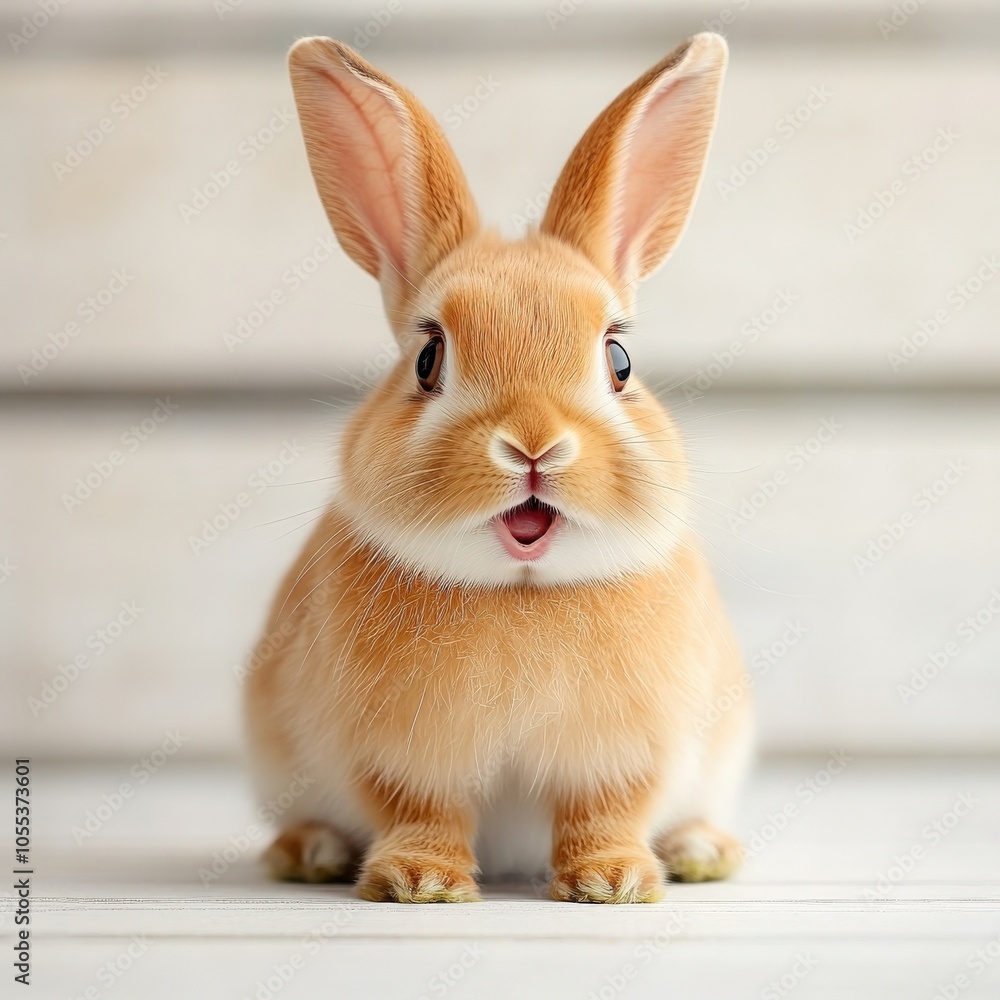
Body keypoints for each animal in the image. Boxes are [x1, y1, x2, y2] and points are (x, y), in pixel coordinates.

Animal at [245, 31, 752, 904]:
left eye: (618, 360)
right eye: (428, 359)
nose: (534, 443)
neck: (522, 595)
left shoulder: (623, 755)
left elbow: (605, 811)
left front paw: (613, 882)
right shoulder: (402, 755)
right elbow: (421, 811)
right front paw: (419, 882)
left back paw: (700, 851)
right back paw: (307, 852)